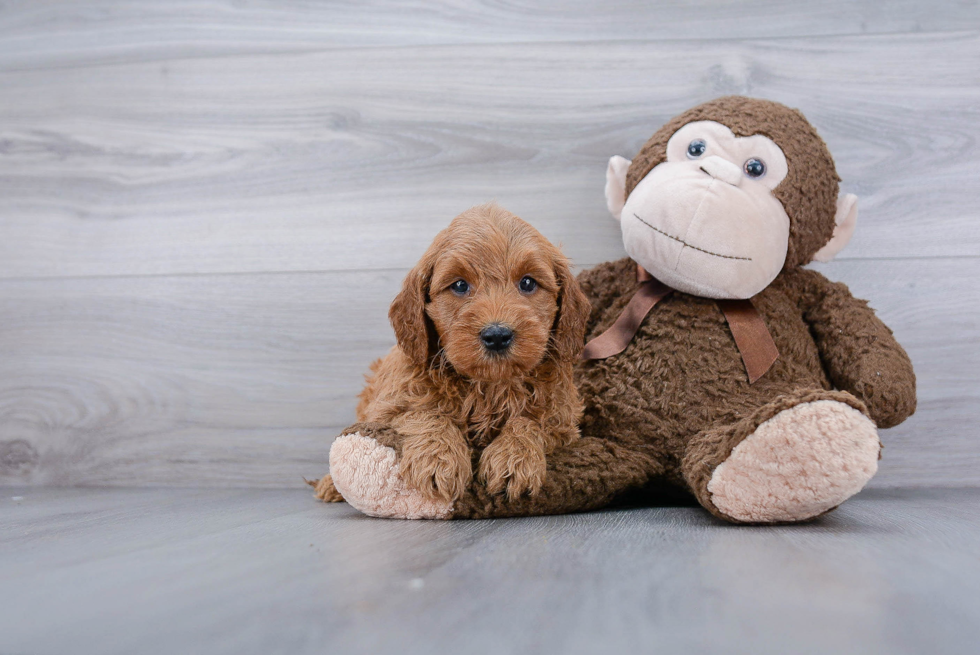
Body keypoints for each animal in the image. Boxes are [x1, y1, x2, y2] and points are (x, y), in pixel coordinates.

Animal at [316, 202, 588, 504]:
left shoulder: (562, 419)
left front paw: (514, 458)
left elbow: (530, 423)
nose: (497, 335)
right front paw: (439, 458)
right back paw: (330, 485)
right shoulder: (386, 410)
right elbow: (425, 413)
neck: (488, 387)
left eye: (528, 283)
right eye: (459, 285)